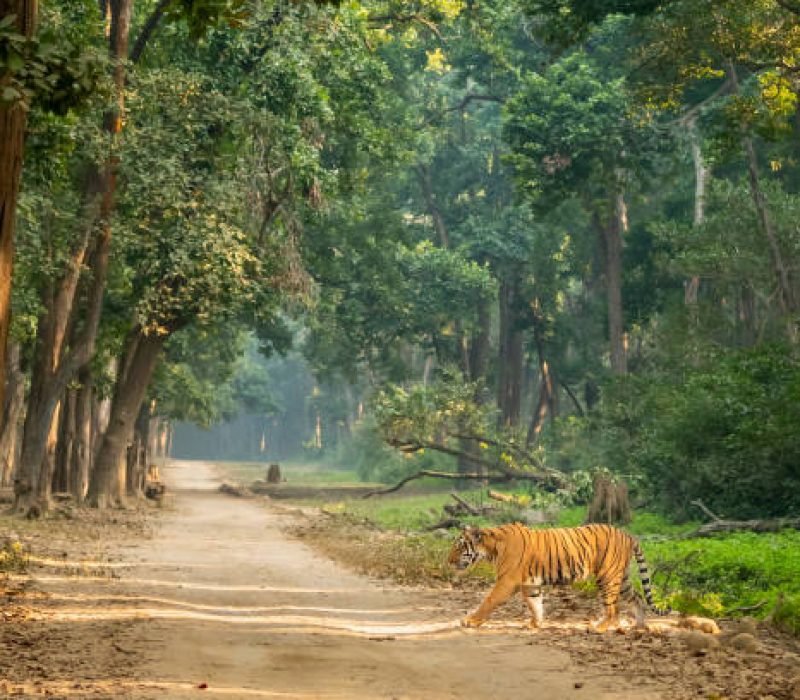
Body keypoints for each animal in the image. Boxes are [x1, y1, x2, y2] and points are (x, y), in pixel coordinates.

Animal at [448, 522, 670, 632]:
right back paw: (640, 626)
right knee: (638, 598)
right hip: (622, 578)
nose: (448, 562)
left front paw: (470, 621)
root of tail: (628, 535)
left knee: (613, 609)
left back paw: (600, 627)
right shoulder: (530, 584)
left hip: (608, 577)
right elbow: (535, 604)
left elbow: (489, 600)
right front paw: (535, 624)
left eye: (459, 547)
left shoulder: (506, 581)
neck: (491, 549)